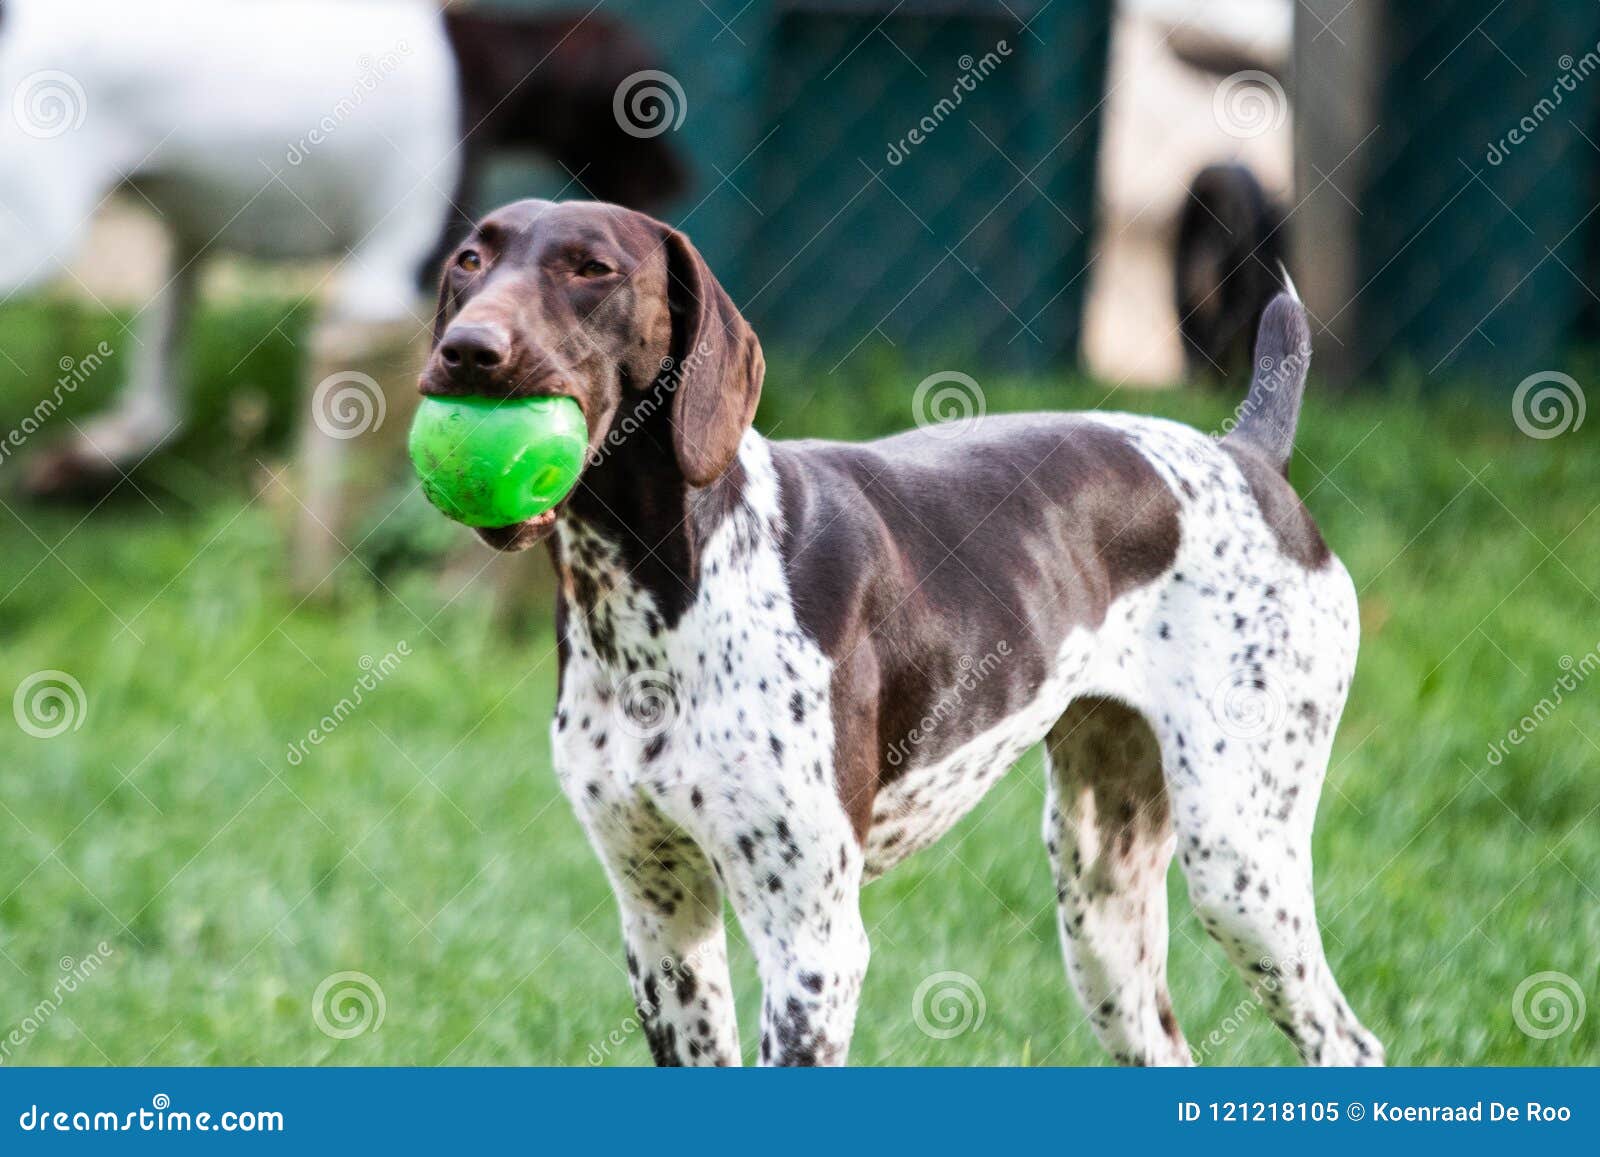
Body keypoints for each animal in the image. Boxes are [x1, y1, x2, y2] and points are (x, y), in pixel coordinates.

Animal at [419, 199, 1382, 1068]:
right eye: (469, 260)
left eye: (592, 268)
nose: (468, 349)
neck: (654, 599)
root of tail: (1247, 455)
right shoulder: (663, 929)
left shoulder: (812, 948)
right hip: (1103, 904)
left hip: (1237, 863)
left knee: (1349, 1043)